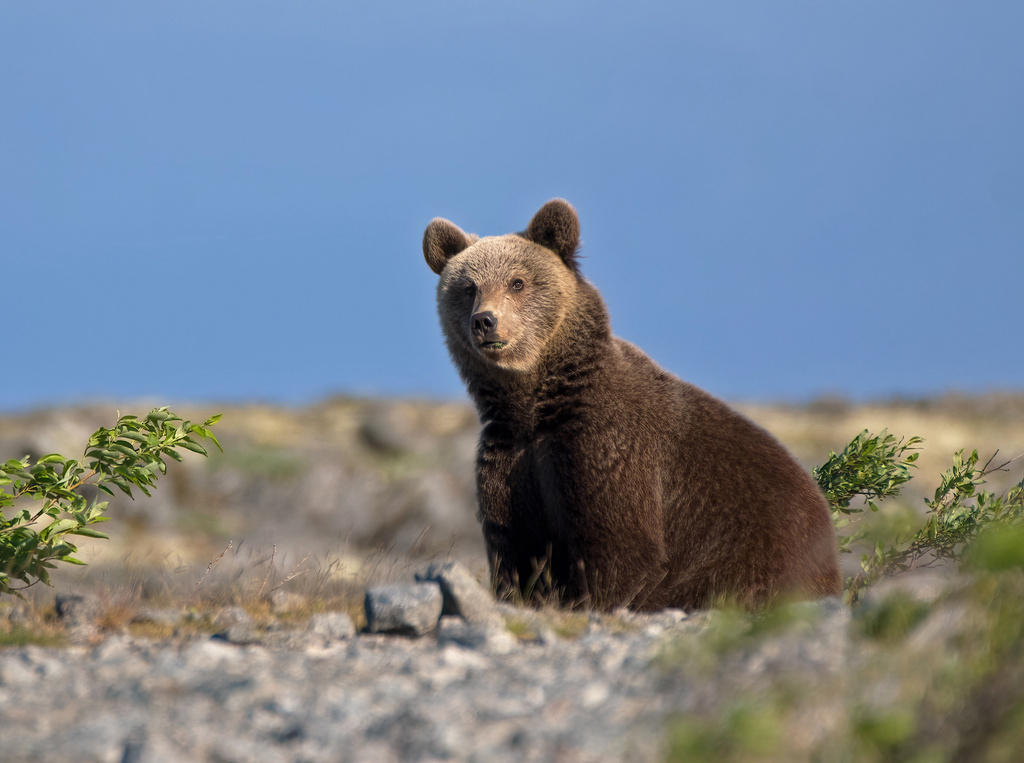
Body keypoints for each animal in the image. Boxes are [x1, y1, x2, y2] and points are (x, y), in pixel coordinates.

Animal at [423, 199, 842, 612]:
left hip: (760, 547)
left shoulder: (606, 448)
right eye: (468, 287)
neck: (538, 405)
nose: (485, 321)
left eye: (517, 282)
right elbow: (516, 550)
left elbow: (621, 547)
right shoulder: (510, 458)